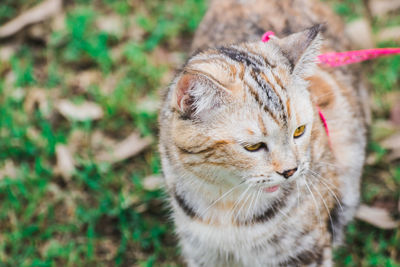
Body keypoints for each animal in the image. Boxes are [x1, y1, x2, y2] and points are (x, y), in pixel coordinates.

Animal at [158, 0, 370, 266]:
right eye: (252, 146)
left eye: (299, 131)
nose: (290, 171)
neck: (225, 205)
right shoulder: (201, 252)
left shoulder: (306, 251)